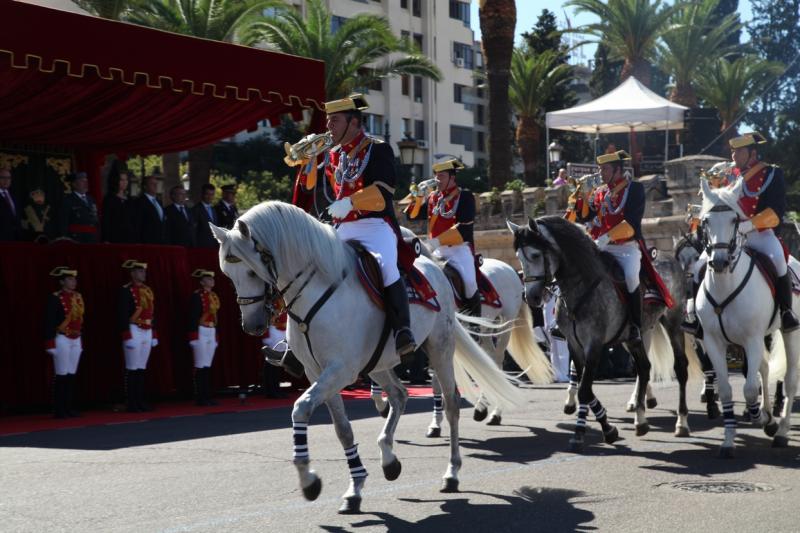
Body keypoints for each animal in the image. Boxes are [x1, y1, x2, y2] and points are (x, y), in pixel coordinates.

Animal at [212, 201, 524, 512]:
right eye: (228, 275)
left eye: (252, 272)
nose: (252, 326)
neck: (317, 291)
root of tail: (436, 271)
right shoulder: (318, 373)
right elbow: (342, 429)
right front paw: (355, 486)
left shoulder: (340, 370)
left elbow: (300, 408)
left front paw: (309, 479)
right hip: (378, 362)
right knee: (399, 394)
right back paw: (389, 458)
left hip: (440, 348)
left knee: (451, 405)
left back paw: (452, 471)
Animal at [512, 214, 692, 450]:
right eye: (519, 257)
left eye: (534, 254)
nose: (531, 297)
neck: (581, 286)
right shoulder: (574, 344)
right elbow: (584, 387)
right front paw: (599, 427)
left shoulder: (594, 344)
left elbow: (585, 389)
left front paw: (591, 430)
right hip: (632, 337)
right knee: (644, 368)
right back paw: (640, 419)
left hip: (672, 322)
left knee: (680, 367)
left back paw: (681, 423)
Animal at [696, 181, 796, 456]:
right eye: (706, 221)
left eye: (734, 219)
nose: (719, 262)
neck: (724, 285)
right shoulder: (714, 342)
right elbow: (727, 391)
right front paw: (728, 442)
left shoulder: (751, 339)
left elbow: (750, 390)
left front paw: (764, 419)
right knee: (763, 367)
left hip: (789, 334)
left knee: (790, 380)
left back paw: (781, 431)